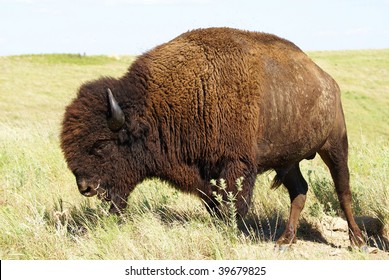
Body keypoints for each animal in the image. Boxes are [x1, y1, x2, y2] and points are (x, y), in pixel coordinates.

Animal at [59, 27, 364, 247]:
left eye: (101, 145)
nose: (85, 187)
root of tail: (328, 81)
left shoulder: (235, 166)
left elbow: (233, 205)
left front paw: (232, 233)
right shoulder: (204, 174)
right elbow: (213, 203)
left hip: (335, 145)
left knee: (343, 190)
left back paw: (357, 240)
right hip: (288, 161)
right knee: (299, 191)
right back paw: (285, 241)